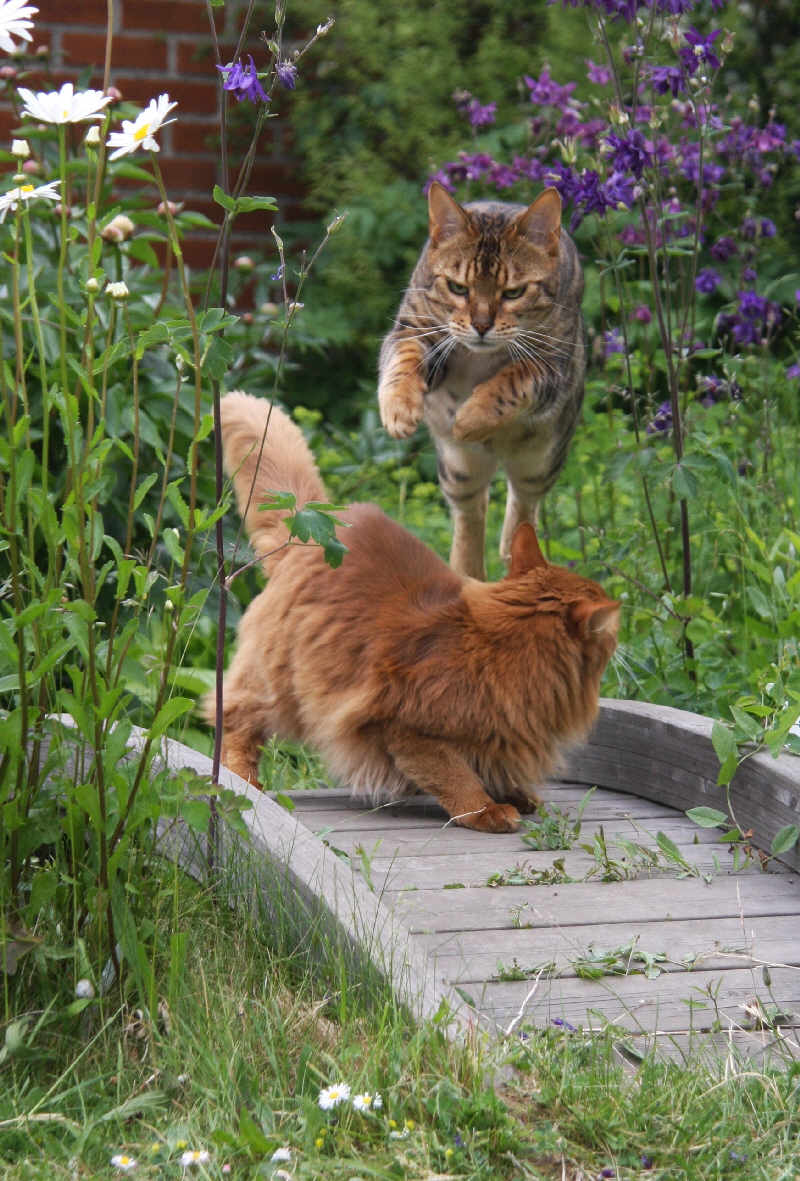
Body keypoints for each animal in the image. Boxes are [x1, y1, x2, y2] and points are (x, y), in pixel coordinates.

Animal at [204, 392, 619, 836]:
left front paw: (515, 793)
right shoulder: (407, 729)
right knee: (235, 717)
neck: (497, 650)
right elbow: (457, 776)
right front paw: (486, 810)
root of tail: (316, 525)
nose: (617, 638)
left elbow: (494, 765)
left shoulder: (501, 737)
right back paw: (242, 778)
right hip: (278, 684)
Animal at [378, 183, 583, 581]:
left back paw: (515, 549)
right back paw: (467, 570)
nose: (482, 325)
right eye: (458, 287)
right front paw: (398, 410)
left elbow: (514, 379)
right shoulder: (414, 329)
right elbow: (402, 359)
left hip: (541, 460)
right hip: (458, 469)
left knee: (523, 503)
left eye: (514, 292)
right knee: (472, 512)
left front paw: (472, 417)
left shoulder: (552, 364)